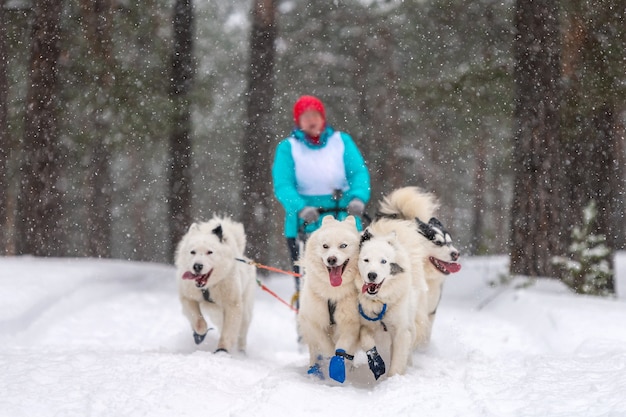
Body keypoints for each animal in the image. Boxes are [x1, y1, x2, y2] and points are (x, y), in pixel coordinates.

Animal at [174, 216, 255, 352]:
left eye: (209, 252)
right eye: (192, 252)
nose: (197, 266)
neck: (208, 287)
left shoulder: (233, 305)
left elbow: (227, 333)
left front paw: (222, 350)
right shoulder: (188, 298)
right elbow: (198, 321)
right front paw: (200, 333)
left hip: (245, 313)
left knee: (241, 334)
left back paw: (241, 351)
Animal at [298, 216, 360, 382]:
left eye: (343, 245)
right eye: (325, 246)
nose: (332, 259)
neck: (333, 294)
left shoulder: (351, 323)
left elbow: (342, 346)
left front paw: (338, 365)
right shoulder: (314, 321)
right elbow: (324, 343)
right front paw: (329, 359)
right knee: (314, 351)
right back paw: (314, 370)